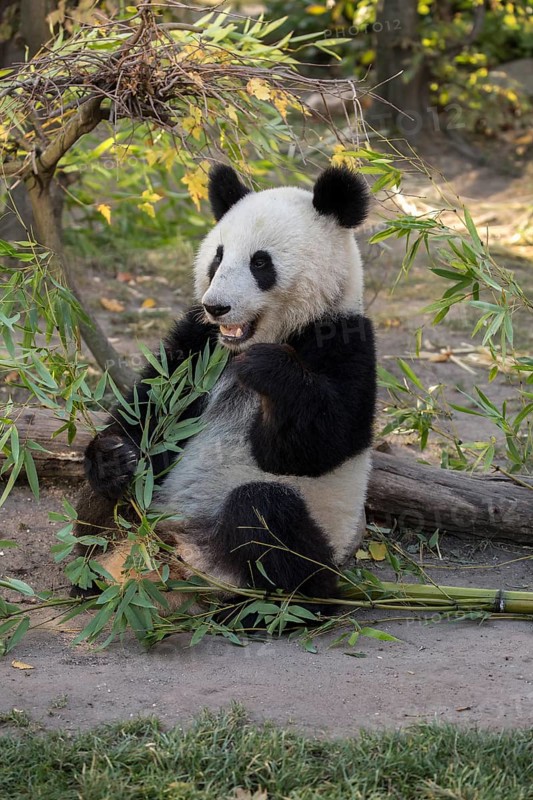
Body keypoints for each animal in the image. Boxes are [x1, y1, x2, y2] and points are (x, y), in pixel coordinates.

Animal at [75, 164, 376, 603]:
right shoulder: (197, 345)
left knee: (266, 517)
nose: (216, 307)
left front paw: (268, 368)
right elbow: (150, 408)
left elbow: (317, 442)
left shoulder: (344, 338)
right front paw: (113, 457)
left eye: (260, 263)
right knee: (111, 495)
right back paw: (90, 571)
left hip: (316, 533)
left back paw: (260, 603)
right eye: (217, 257)